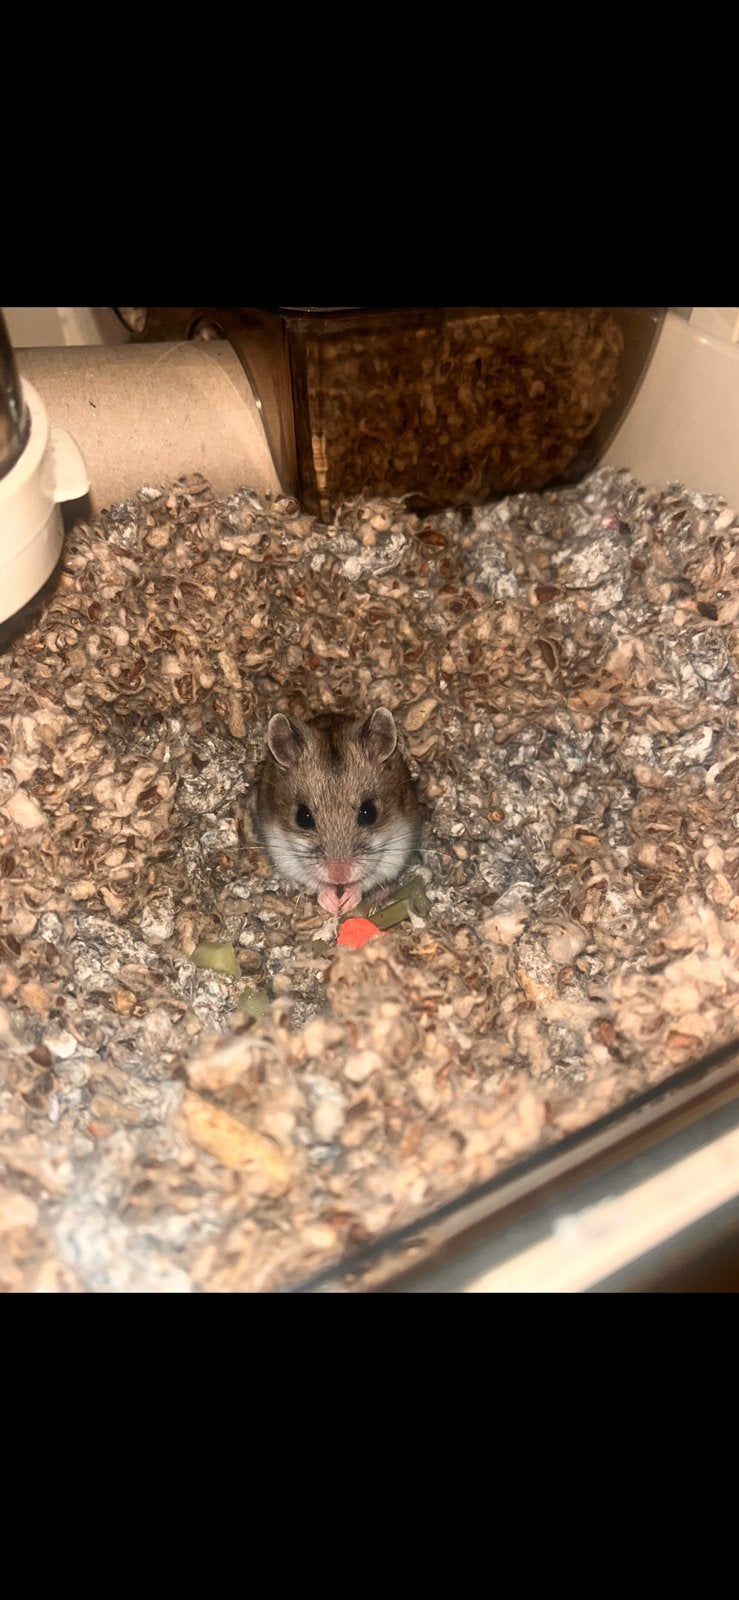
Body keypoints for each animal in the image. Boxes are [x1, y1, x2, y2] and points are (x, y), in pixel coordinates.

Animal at [256, 707, 420, 915]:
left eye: (369, 812)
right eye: (302, 817)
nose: (339, 876)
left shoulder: (396, 851)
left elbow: (367, 880)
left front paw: (346, 901)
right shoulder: (283, 852)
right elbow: (314, 881)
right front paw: (334, 904)